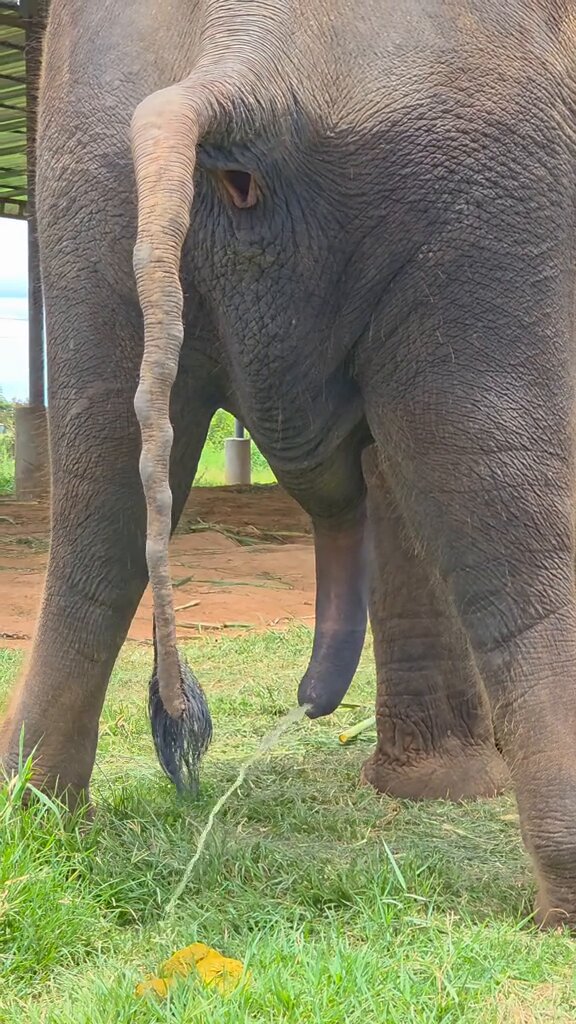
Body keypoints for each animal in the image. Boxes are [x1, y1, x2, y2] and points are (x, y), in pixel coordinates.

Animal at [1, 0, 575, 929]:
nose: (311, 699)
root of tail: (243, 55)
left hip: (85, 181)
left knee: (100, 524)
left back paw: (38, 821)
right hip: (475, 188)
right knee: (508, 516)